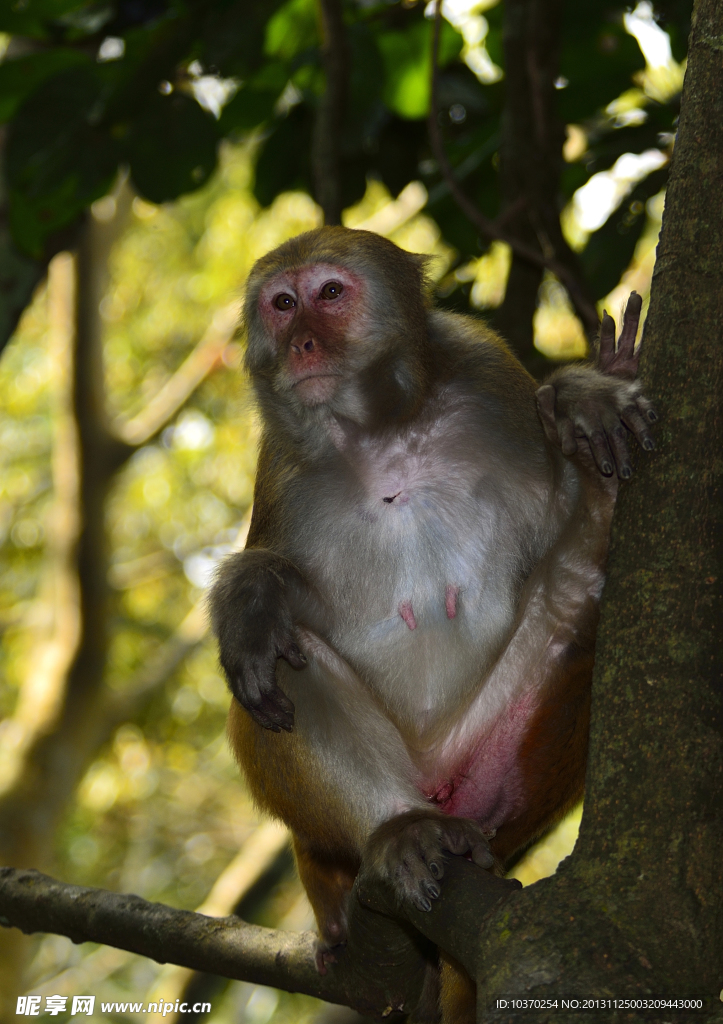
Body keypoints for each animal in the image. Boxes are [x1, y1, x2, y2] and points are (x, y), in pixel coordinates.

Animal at [206, 226, 655, 1024]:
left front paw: (585, 397)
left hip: (491, 768)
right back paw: (399, 833)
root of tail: (437, 779)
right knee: (279, 665)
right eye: (281, 304)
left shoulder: (487, 372)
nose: (303, 344)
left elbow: (553, 516)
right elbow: (290, 607)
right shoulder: (278, 470)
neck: (379, 433)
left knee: (574, 600)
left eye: (330, 294)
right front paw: (252, 594)